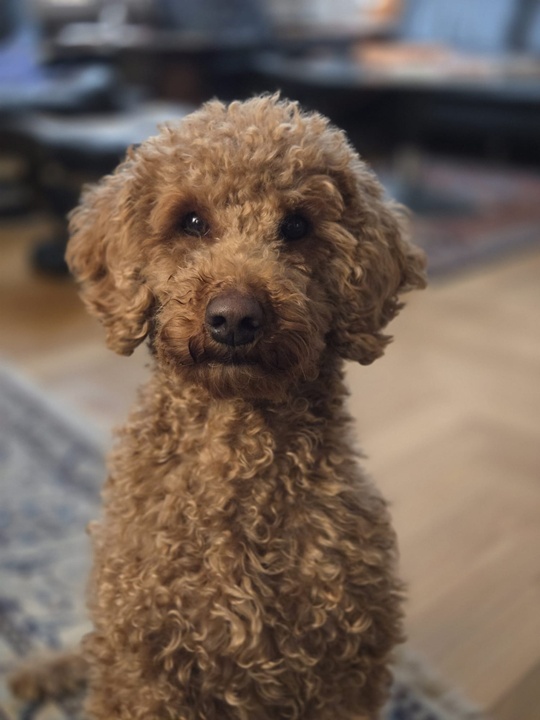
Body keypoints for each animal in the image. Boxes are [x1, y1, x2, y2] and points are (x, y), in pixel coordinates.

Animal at [11, 95, 426, 720]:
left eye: (298, 226)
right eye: (191, 221)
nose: (235, 316)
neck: (236, 450)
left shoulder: (343, 672)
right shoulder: (146, 673)